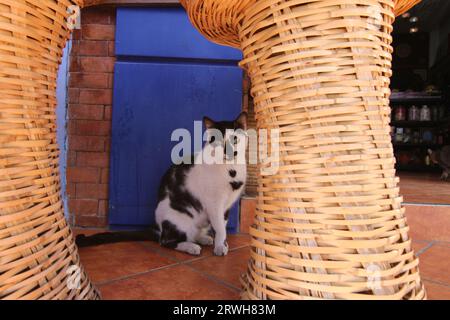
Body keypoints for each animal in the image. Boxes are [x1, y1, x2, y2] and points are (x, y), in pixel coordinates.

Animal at [75, 113, 248, 258]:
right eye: (218, 141)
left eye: (235, 139)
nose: (228, 150)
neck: (231, 170)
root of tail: (157, 227)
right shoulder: (214, 203)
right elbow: (219, 227)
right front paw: (220, 247)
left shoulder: (226, 206)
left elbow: (222, 227)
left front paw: (221, 244)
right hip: (180, 221)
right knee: (166, 241)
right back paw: (191, 247)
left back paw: (203, 238)